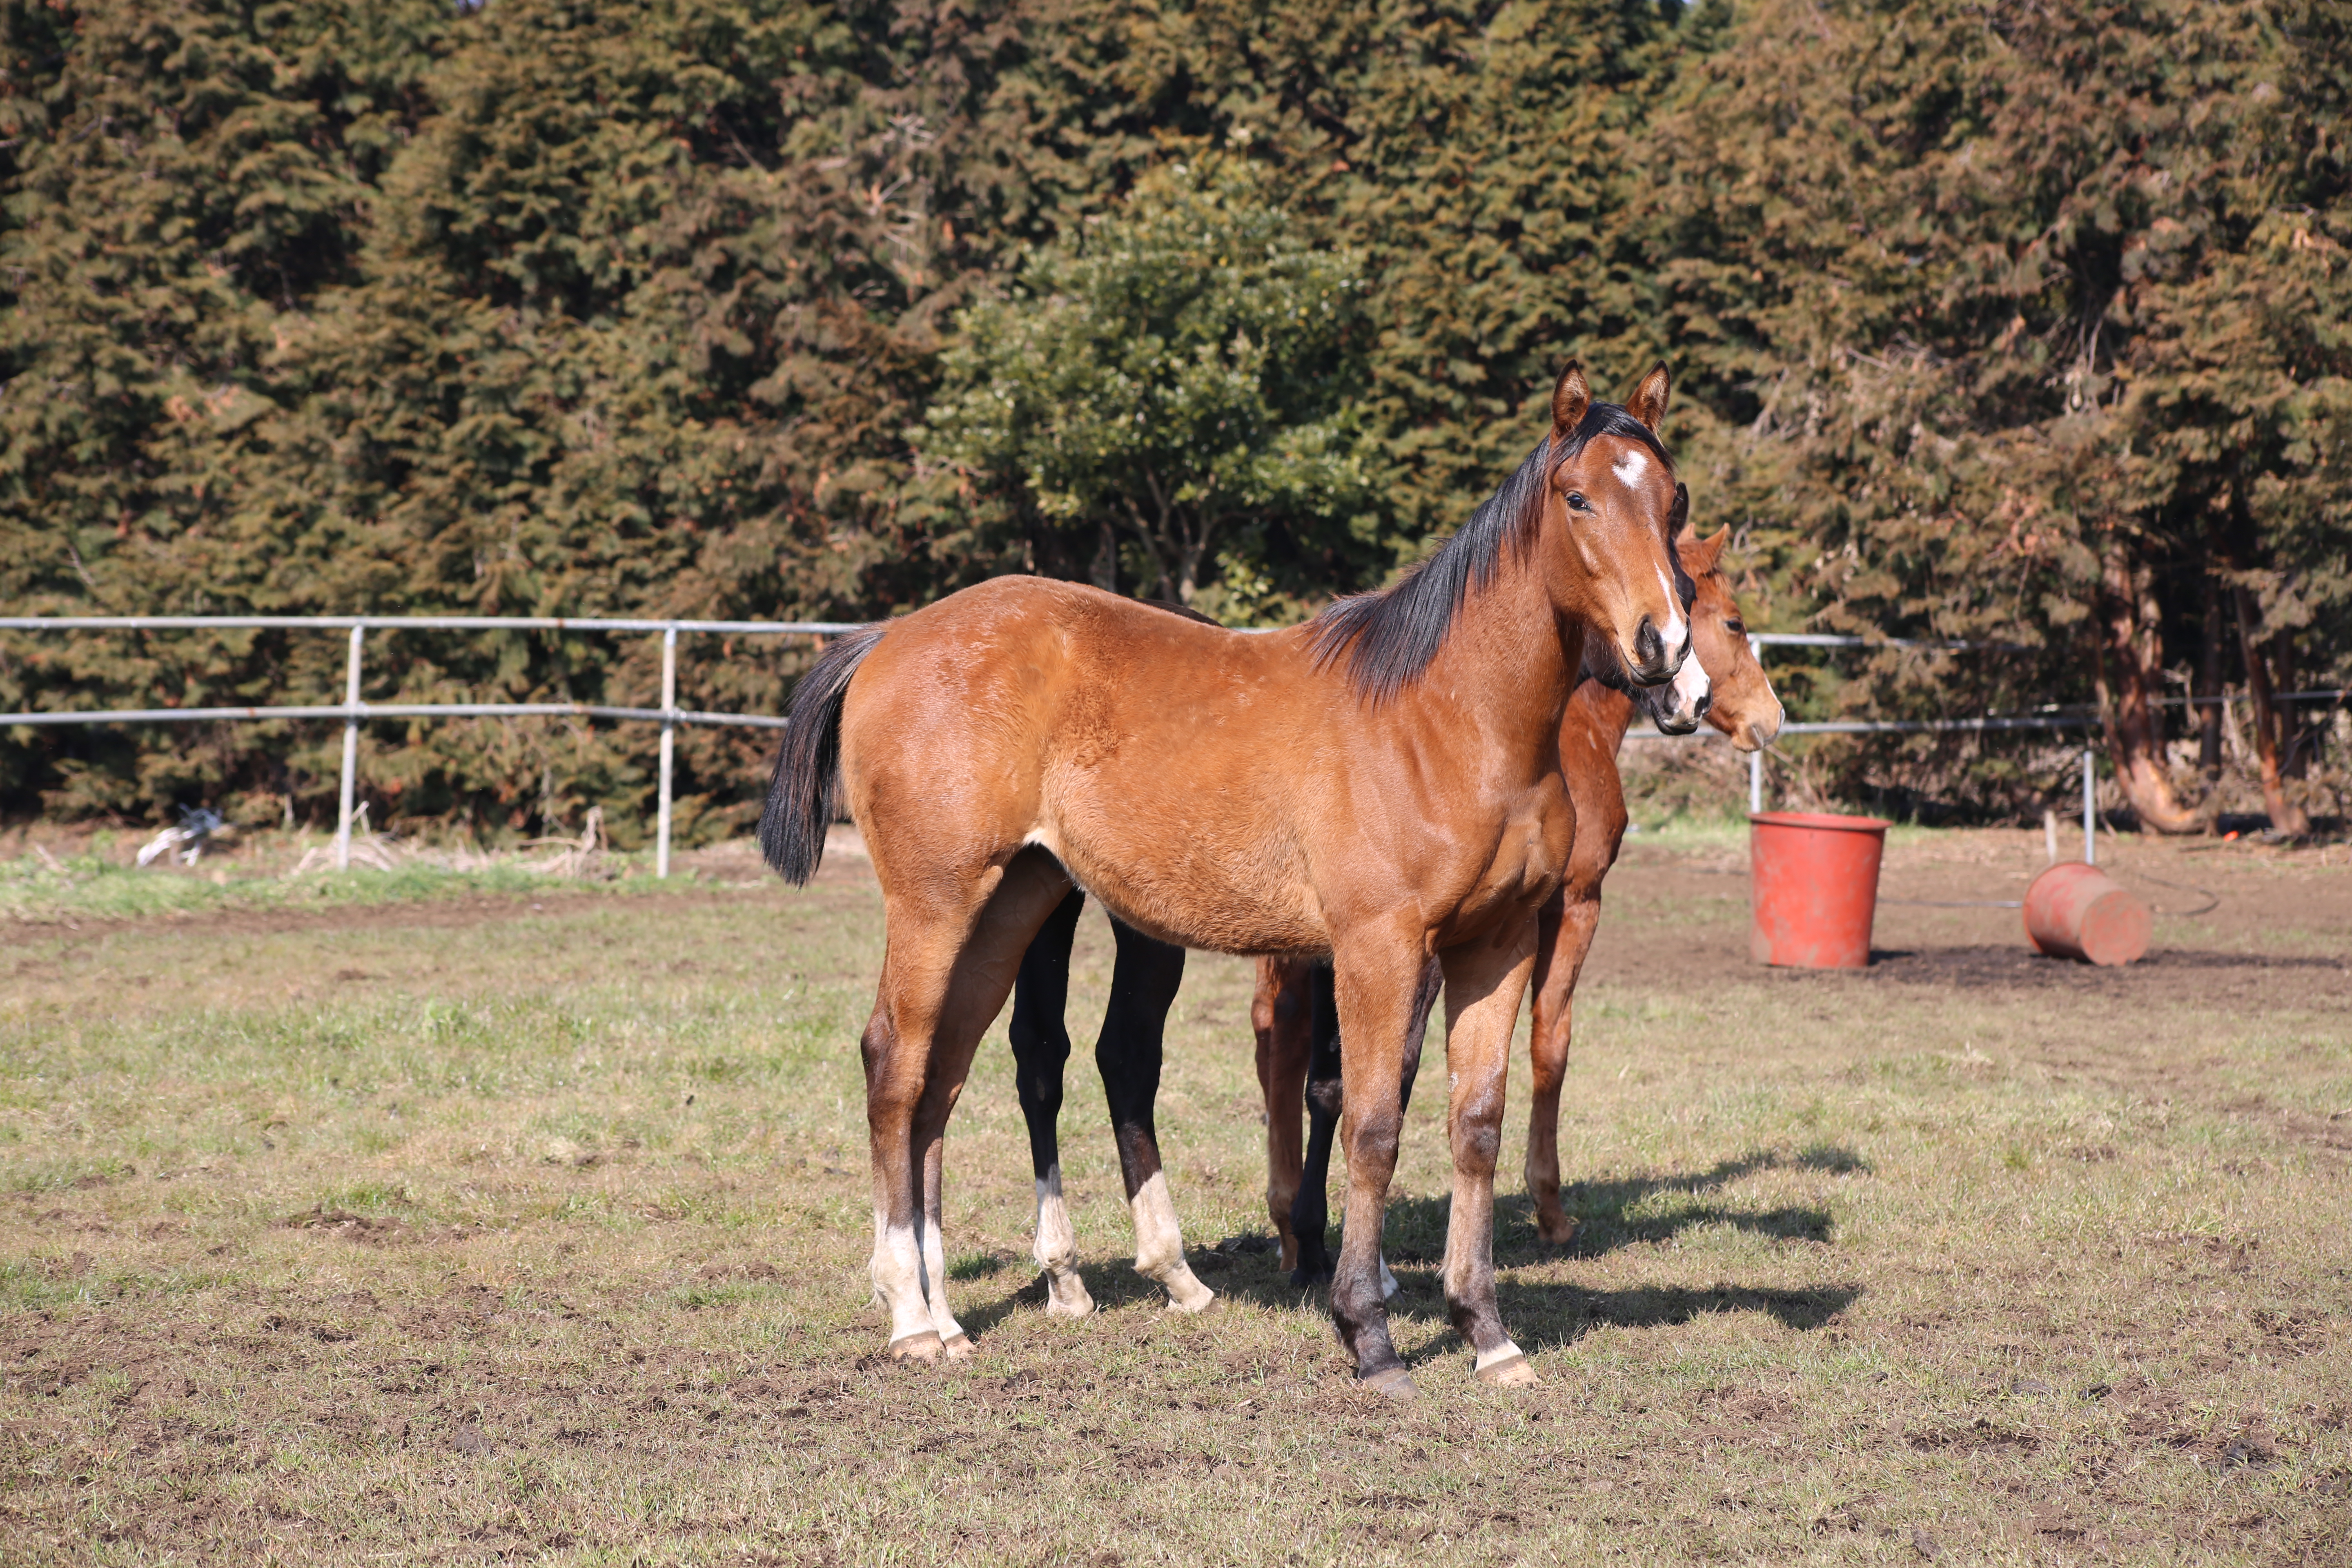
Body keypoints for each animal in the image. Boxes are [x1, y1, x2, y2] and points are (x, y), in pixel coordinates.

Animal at [766, 362, 1693, 1392]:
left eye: (1674, 498)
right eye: (1578, 498)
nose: (1663, 646)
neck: (1452, 719)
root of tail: (888, 638)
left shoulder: (1495, 945)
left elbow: (1475, 1123)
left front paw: (1486, 1333)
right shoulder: (1378, 947)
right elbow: (1373, 1123)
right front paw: (1368, 1333)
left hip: (1010, 905)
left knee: (944, 1076)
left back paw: (949, 1312)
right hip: (934, 904)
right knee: (895, 1062)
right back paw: (909, 1315)